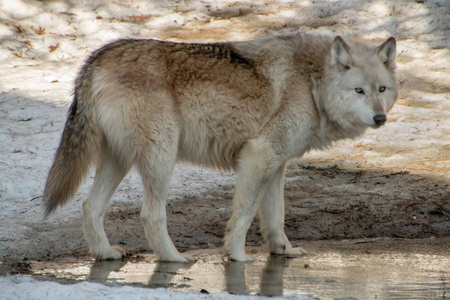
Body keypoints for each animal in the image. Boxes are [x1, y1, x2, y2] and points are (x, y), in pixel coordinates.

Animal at [43, 32, 398, 262]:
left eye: (382, 89)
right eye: (359, 90)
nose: (380, 118)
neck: (312, 82)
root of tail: (96, 57)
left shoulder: (276, 165)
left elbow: (276, 217)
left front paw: (283, 251)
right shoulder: (258, 156)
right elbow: (243, 215)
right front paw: (238, 257)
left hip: (119, 160)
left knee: (90, 206)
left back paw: (105, 254)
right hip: (161, 158)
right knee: (151, 214)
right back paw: (175, 259)